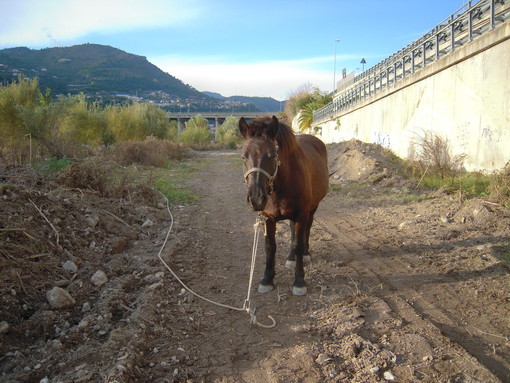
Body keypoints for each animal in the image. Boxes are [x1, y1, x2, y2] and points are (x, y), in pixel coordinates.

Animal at [238, 116, 328, 296]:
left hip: (312, 208)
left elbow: (298, 244)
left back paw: (305, 254)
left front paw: (299, 281)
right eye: (244, 157)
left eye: (272, 155)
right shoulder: (268, 219)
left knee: (307, 229)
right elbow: (270, 247)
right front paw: (267, 279)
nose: (256, 198)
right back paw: (291, 258)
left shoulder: (301, 215)